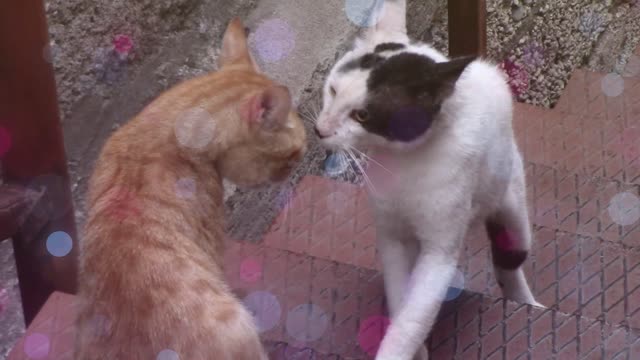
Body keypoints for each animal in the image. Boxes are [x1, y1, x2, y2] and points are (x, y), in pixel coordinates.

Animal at [312, 1, 544, 358]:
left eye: (362, 115)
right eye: (333, 90)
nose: (320, 129)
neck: (405, 164)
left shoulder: (439, 250)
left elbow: (415, 314)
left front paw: (399, 349)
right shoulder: (391, 235)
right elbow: (400, 295)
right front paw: (416, 348)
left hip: (509, 196)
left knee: (510, 259)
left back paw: (525, 300)